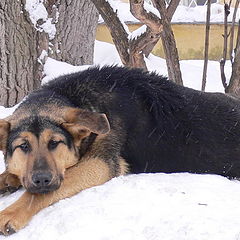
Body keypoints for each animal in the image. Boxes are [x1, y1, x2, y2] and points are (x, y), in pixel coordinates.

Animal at [0, 66, 240, 234]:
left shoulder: (100, 163)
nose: (42, 179)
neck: (74, 97)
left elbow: (35, 195)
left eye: (54, 143)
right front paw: (8, 179)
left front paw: (9, 213)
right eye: (23, 146)